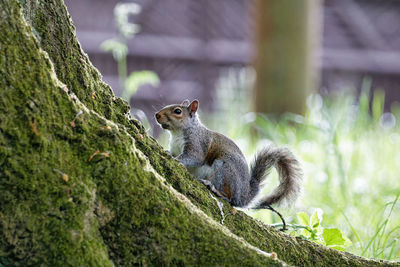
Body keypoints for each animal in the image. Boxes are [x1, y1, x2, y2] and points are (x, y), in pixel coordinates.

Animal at [155, 100, 302, 230]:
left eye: (177, 111)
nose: (157, 115)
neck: (178, 133)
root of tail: (243, 195)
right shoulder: (175, 147)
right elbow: (174, 152)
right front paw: (167, 152)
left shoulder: (198, 144)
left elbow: (194, 158)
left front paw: (175, 159)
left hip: (224, 170)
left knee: (229, 199)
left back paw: (214, 188)